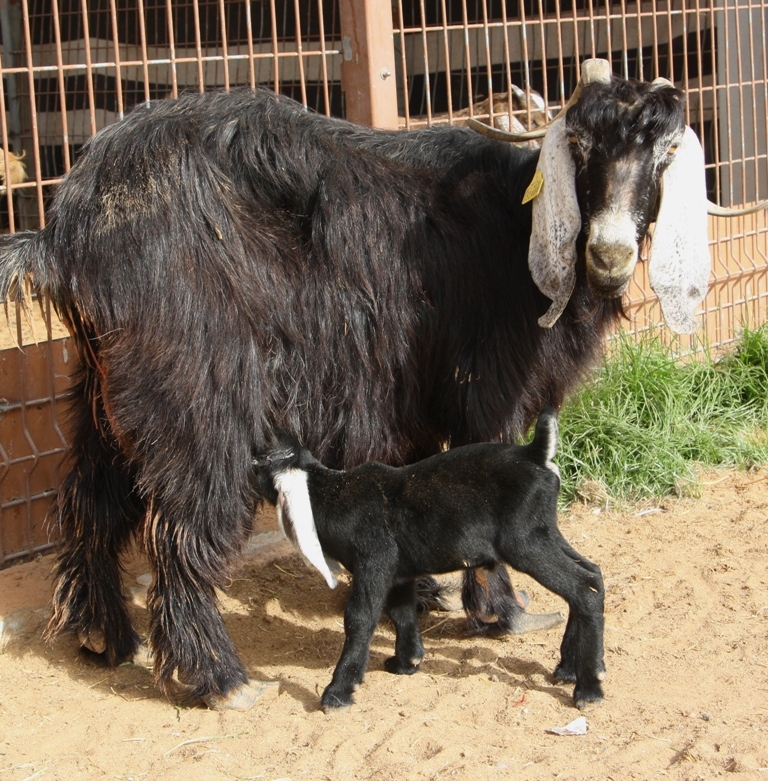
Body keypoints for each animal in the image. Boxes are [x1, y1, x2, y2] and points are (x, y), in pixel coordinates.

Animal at [1, 59, 712, 708]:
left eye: (663, 152)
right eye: (583, 146)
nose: (610, 254)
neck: (519, 223)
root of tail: (63, 232)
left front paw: (423, 592)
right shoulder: (488, 390)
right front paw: (500, 612)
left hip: (108, 392)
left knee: (90, 502)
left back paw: (103, 637)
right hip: (195, 395)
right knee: (179, 528)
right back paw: (221, 678)